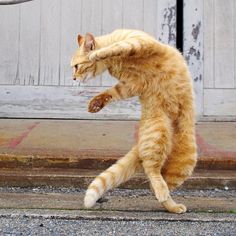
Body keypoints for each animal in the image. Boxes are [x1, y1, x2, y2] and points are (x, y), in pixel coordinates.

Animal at [70, 29, 197, 214]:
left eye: (76, 66)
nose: (73, 78)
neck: (114, 62)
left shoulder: (138, 42)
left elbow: (116, 47)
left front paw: (96, 54)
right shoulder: (129, 85)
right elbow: (111, 93)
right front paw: (95, 103)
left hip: (183, 162)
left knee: (157, 178)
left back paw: (171, 204)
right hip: (157, 134)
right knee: (152, 173)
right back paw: (165, 197)